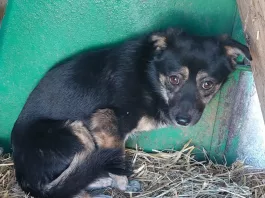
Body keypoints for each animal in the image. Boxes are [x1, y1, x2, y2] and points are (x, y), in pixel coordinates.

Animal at [10, 26, 250, 198]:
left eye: (207, 84)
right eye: (174, 79)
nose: (183, 120)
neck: (150, 78)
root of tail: (22, 173)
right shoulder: (106, 122)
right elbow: (117, 162)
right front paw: (122, 185)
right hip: (74, 131)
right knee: (70, 184)